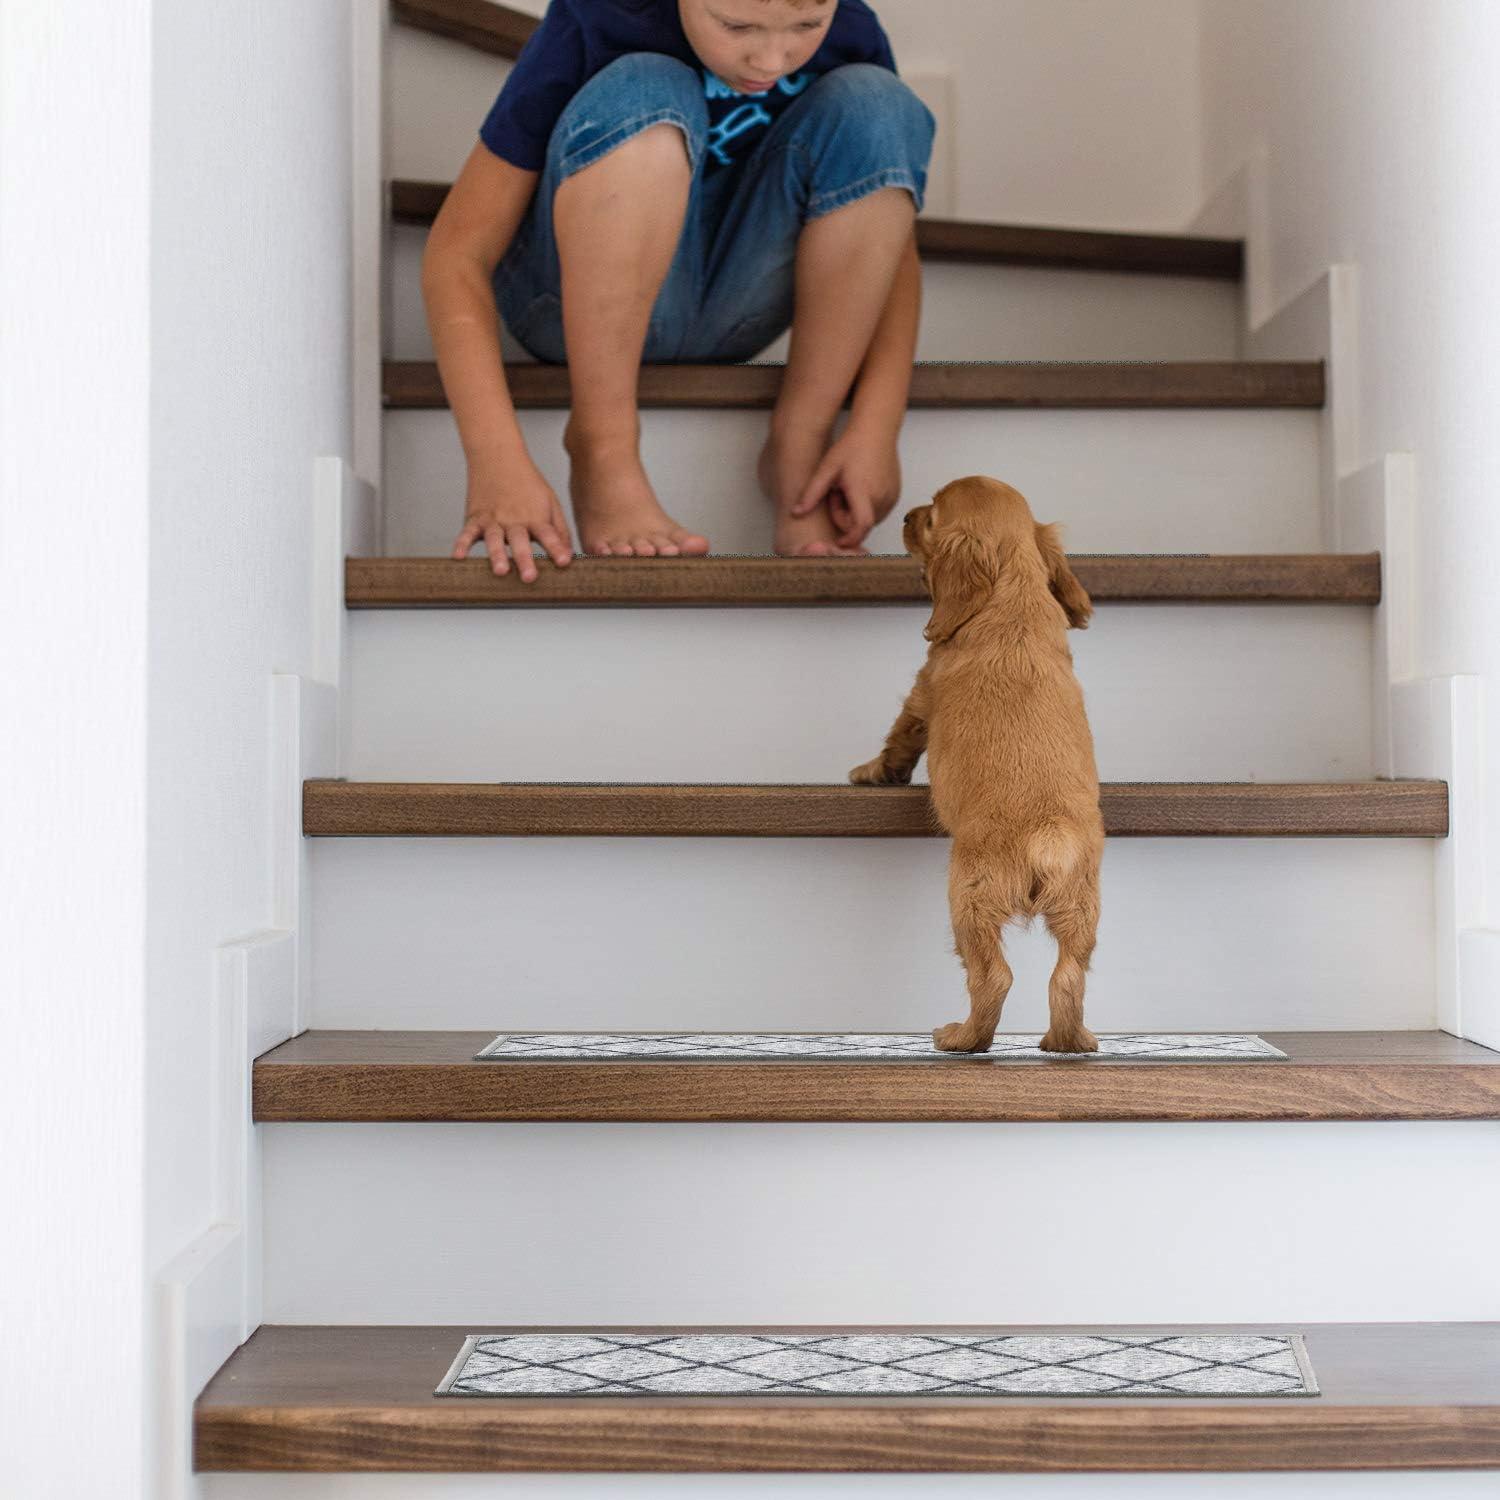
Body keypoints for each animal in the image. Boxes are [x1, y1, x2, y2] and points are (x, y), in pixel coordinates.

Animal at [852, 474, 1110, 1050]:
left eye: (930, 517)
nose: (905, 516)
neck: (1012, 594)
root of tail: (1046, 839)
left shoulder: (923, 692)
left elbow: (900, 737)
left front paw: (873, 773)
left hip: (968, 897)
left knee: (993, 976)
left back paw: (960, 1038)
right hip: (1082, 906)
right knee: (1068, 978)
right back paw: (1069, 1042)